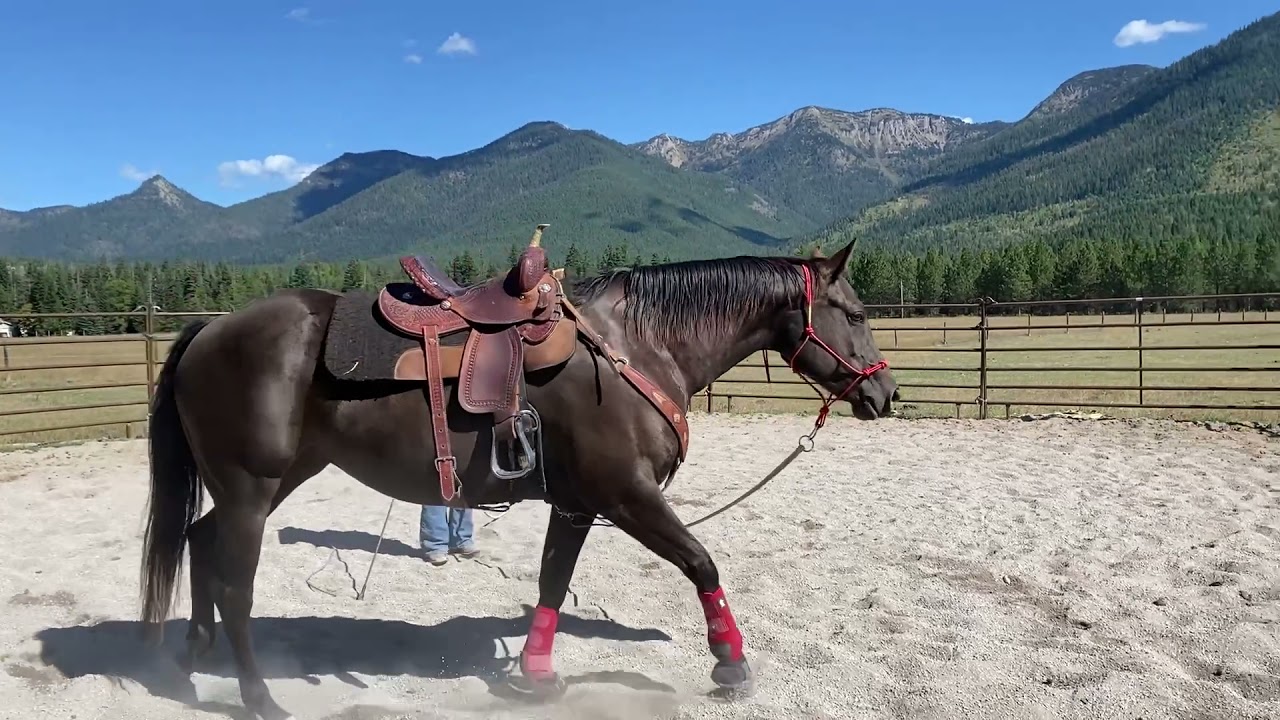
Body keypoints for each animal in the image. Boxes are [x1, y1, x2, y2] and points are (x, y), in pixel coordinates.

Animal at [137, 234, 897, 720]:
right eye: (857, 314)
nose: (885, 394)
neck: (636, 348)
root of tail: (210, 330)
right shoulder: (626, 496)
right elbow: (701, 562)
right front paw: (730, 662)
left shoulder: (577, 503)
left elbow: (552, 583)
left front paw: (536, 676)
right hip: (251, 490)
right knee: (236, 589)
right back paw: (259, 697)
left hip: (264, 484)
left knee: (199, 542)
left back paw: (193, 653)